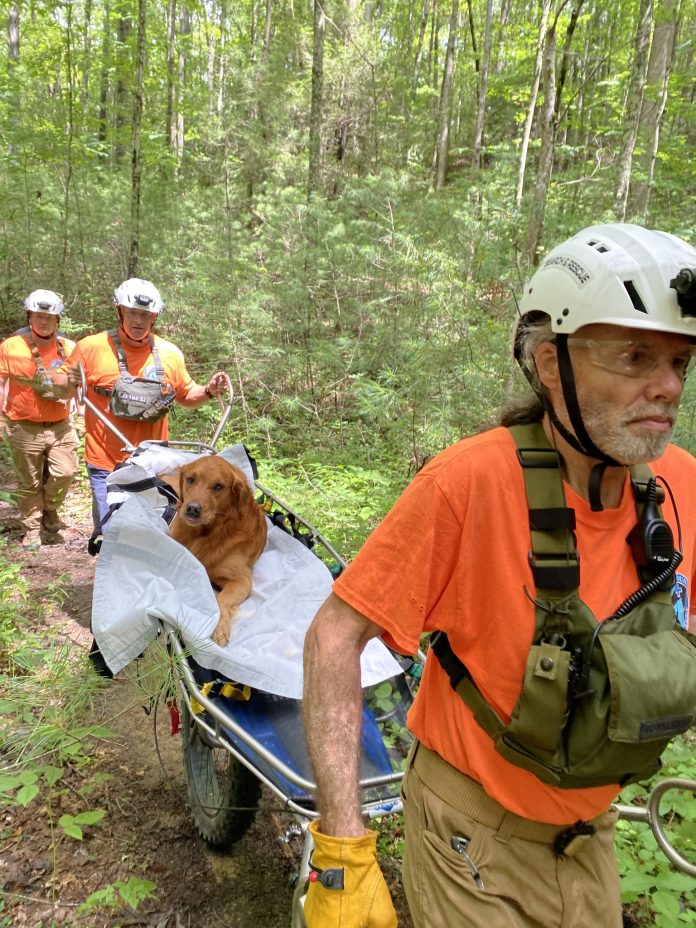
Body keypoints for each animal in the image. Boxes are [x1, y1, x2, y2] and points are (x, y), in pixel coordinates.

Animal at [167, 454, 268, 644]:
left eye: (218, 486)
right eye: (190, 479)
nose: (193, 508)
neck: (205, 534)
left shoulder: (242, 580)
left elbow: (222, 599)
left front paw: (219, 627)